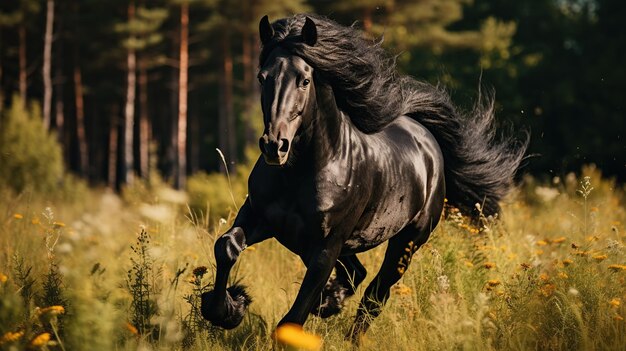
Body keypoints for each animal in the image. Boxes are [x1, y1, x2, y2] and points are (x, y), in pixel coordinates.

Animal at [201, 14, 528, 344]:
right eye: (262, 77)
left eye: (304, 80)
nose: (274, 145)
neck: (303, 172)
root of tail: (426, 137)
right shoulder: (261, 218)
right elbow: (226, 246)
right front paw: (228, 308)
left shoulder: (325, 247)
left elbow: (292, 321)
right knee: (357, 275)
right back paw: (332, 301)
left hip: (407, 242)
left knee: (375, 293)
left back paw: (349, 331)